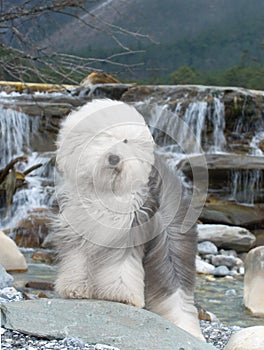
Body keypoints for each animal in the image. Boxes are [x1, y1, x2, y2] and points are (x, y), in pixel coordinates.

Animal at [52, 98, 203, 340]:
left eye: (125, 140)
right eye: (102, 137)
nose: (114, 158)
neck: (107, 191)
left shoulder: (128, 232)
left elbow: (120, 267)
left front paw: (119, 294)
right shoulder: (80, 231)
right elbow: (78, 261)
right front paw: (75, 288)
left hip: (172, 244)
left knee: (176, 288)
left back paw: (187, 329)